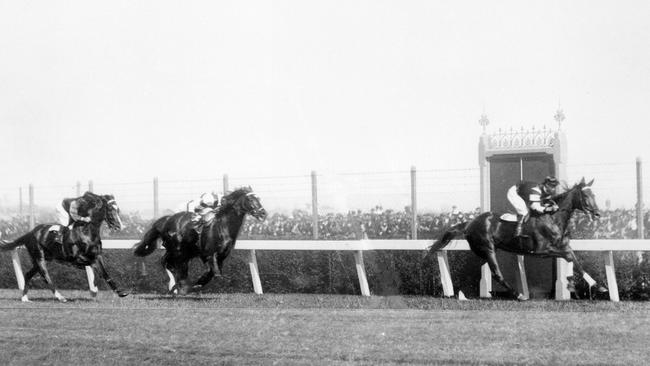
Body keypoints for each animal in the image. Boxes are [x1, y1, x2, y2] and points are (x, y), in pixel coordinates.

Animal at [0, 193, 129, 302]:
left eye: (118, 209)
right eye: (111, 209)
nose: (120, 226)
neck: (87, 232)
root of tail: (31, 233)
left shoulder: (97, 256)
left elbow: (104, 273)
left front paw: (121, 292)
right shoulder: (75, 259)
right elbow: (92, 266)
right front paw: (94, 288)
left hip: (43, 259)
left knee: (28, 274)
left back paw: (25, 298)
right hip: (39, 257)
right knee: (45, 276)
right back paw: (60, 297)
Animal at [134, 187, 266, 294]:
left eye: (258, 198)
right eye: (250, 199)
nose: (263, 213)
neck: (223, 227)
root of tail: (165, 221)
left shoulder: (221, 256)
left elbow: (212, 273)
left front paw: (196, 284)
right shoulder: (209, 254)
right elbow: (213, 272)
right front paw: (191, 286)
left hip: (185, 252)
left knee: (170, 264)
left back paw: (177, 287)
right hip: (177, 250)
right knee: (167, 263)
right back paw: (175, 286)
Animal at [428, 178, 604, 300]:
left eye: (594, 194)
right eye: (585, 195)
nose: (597, 213)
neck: (553, 218)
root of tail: (469, 223)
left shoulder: (563, 246)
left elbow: (574, 260)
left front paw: (594, 285)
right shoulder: (542, 251)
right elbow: (568, 257)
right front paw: (576, 285)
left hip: (484, 251)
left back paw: (463, 294)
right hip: (488, 249)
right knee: (497, 274)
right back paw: (519, 295)